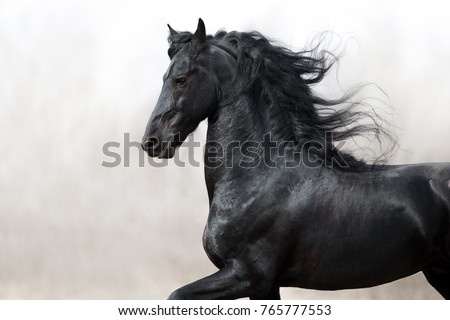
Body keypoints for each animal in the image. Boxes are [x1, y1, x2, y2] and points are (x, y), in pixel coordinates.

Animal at [142, 19, 450, 300]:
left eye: (180, 79)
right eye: (164, 78)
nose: (152, 142)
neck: (260, 177)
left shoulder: (248, 276)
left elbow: (176, 296)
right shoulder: (265, 288)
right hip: (438, 272)